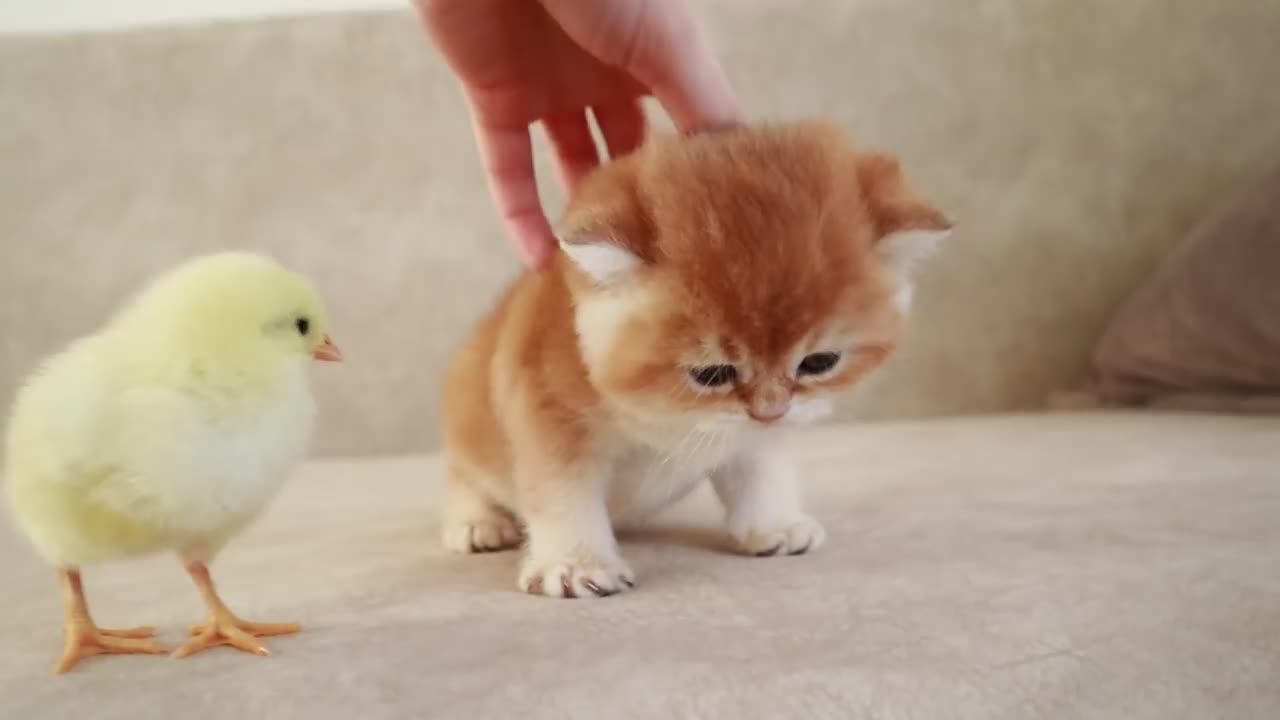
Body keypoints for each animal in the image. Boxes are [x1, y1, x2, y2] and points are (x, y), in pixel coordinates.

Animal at [440, 120, 952, 597]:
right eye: (712, 374)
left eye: (818, 363)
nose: (771, 411)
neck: (662, 412)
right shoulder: (546, 408)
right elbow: (561, 493)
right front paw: (575, 564)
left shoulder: (749, 432)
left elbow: (759, 467)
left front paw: (773, 525)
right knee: (463, 473)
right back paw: (477, 522)